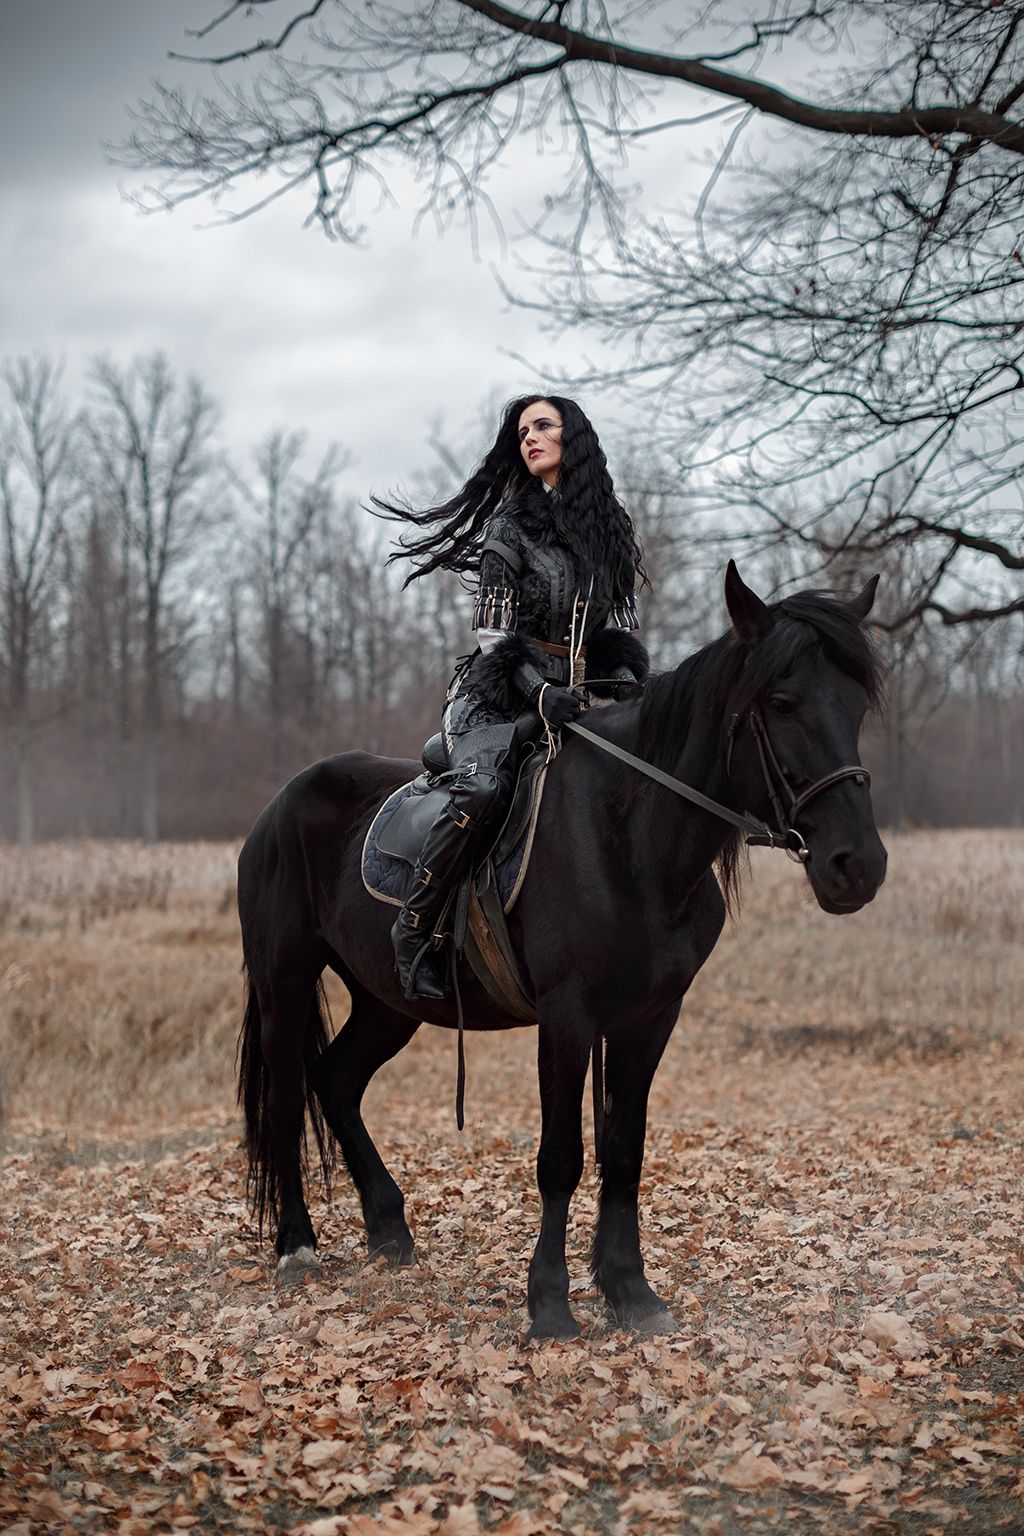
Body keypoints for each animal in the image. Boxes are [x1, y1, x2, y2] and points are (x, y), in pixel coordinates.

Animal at [236, 562, 884, 1333]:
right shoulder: (568, 1016)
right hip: (284, 981)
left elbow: (624, 1151)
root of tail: (278, 806)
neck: (632, 837)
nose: (858, 866)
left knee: (335, 1080)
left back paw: (390, 1231)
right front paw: (549, 1302)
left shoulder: (649, 1018)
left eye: (858, 706)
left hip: (388, 1000)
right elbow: (561, 1157)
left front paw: (630, 1290)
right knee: (285, 1097)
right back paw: (296, 1246)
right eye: (781, 702)